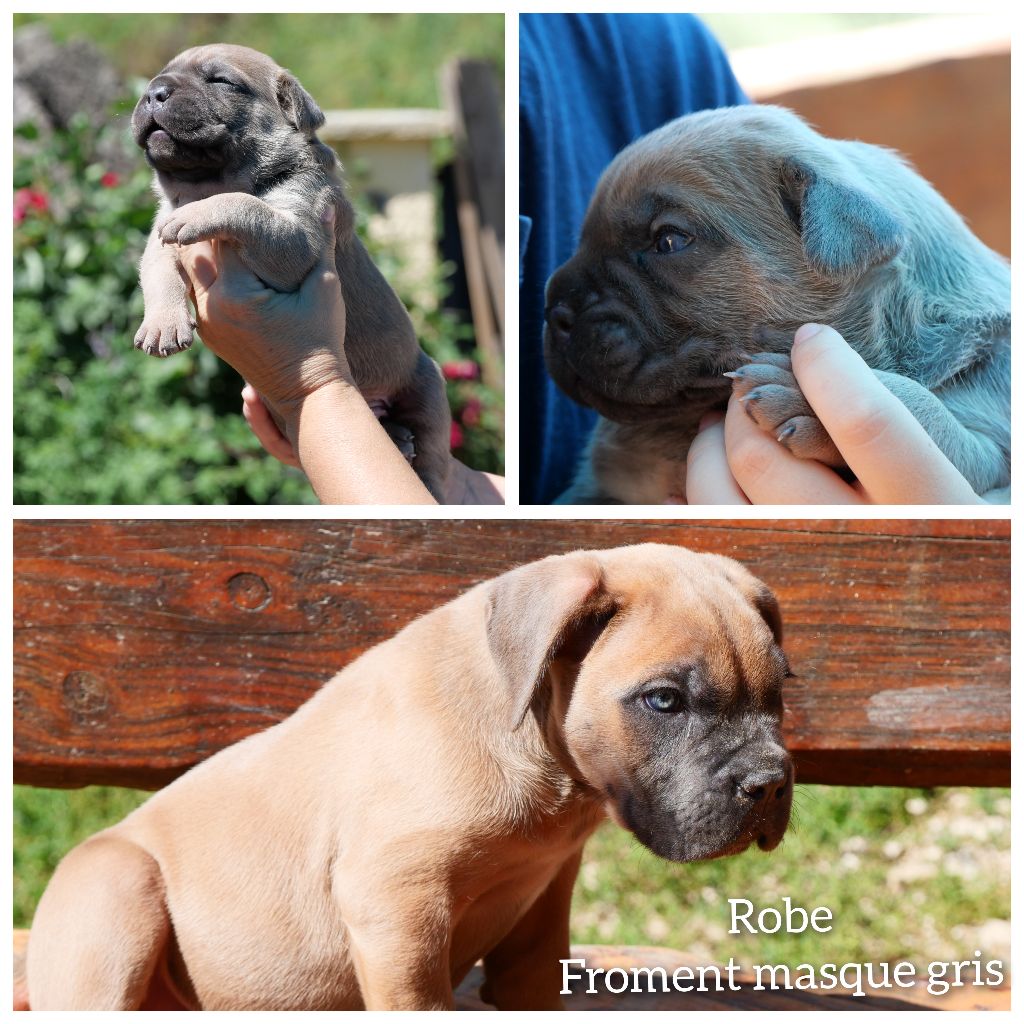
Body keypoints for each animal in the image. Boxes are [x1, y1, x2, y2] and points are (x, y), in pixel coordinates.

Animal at [130, 44, 450, 499]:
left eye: (221, 81)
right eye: (159, 77)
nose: (153, 92)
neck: (204, 182)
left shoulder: (298, 238)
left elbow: (243, 204)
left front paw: (204, 210)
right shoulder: (159, 243)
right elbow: (159, 276)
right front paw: (162, 325)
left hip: (428, 388)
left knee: (433, 456)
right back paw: (396, 437)